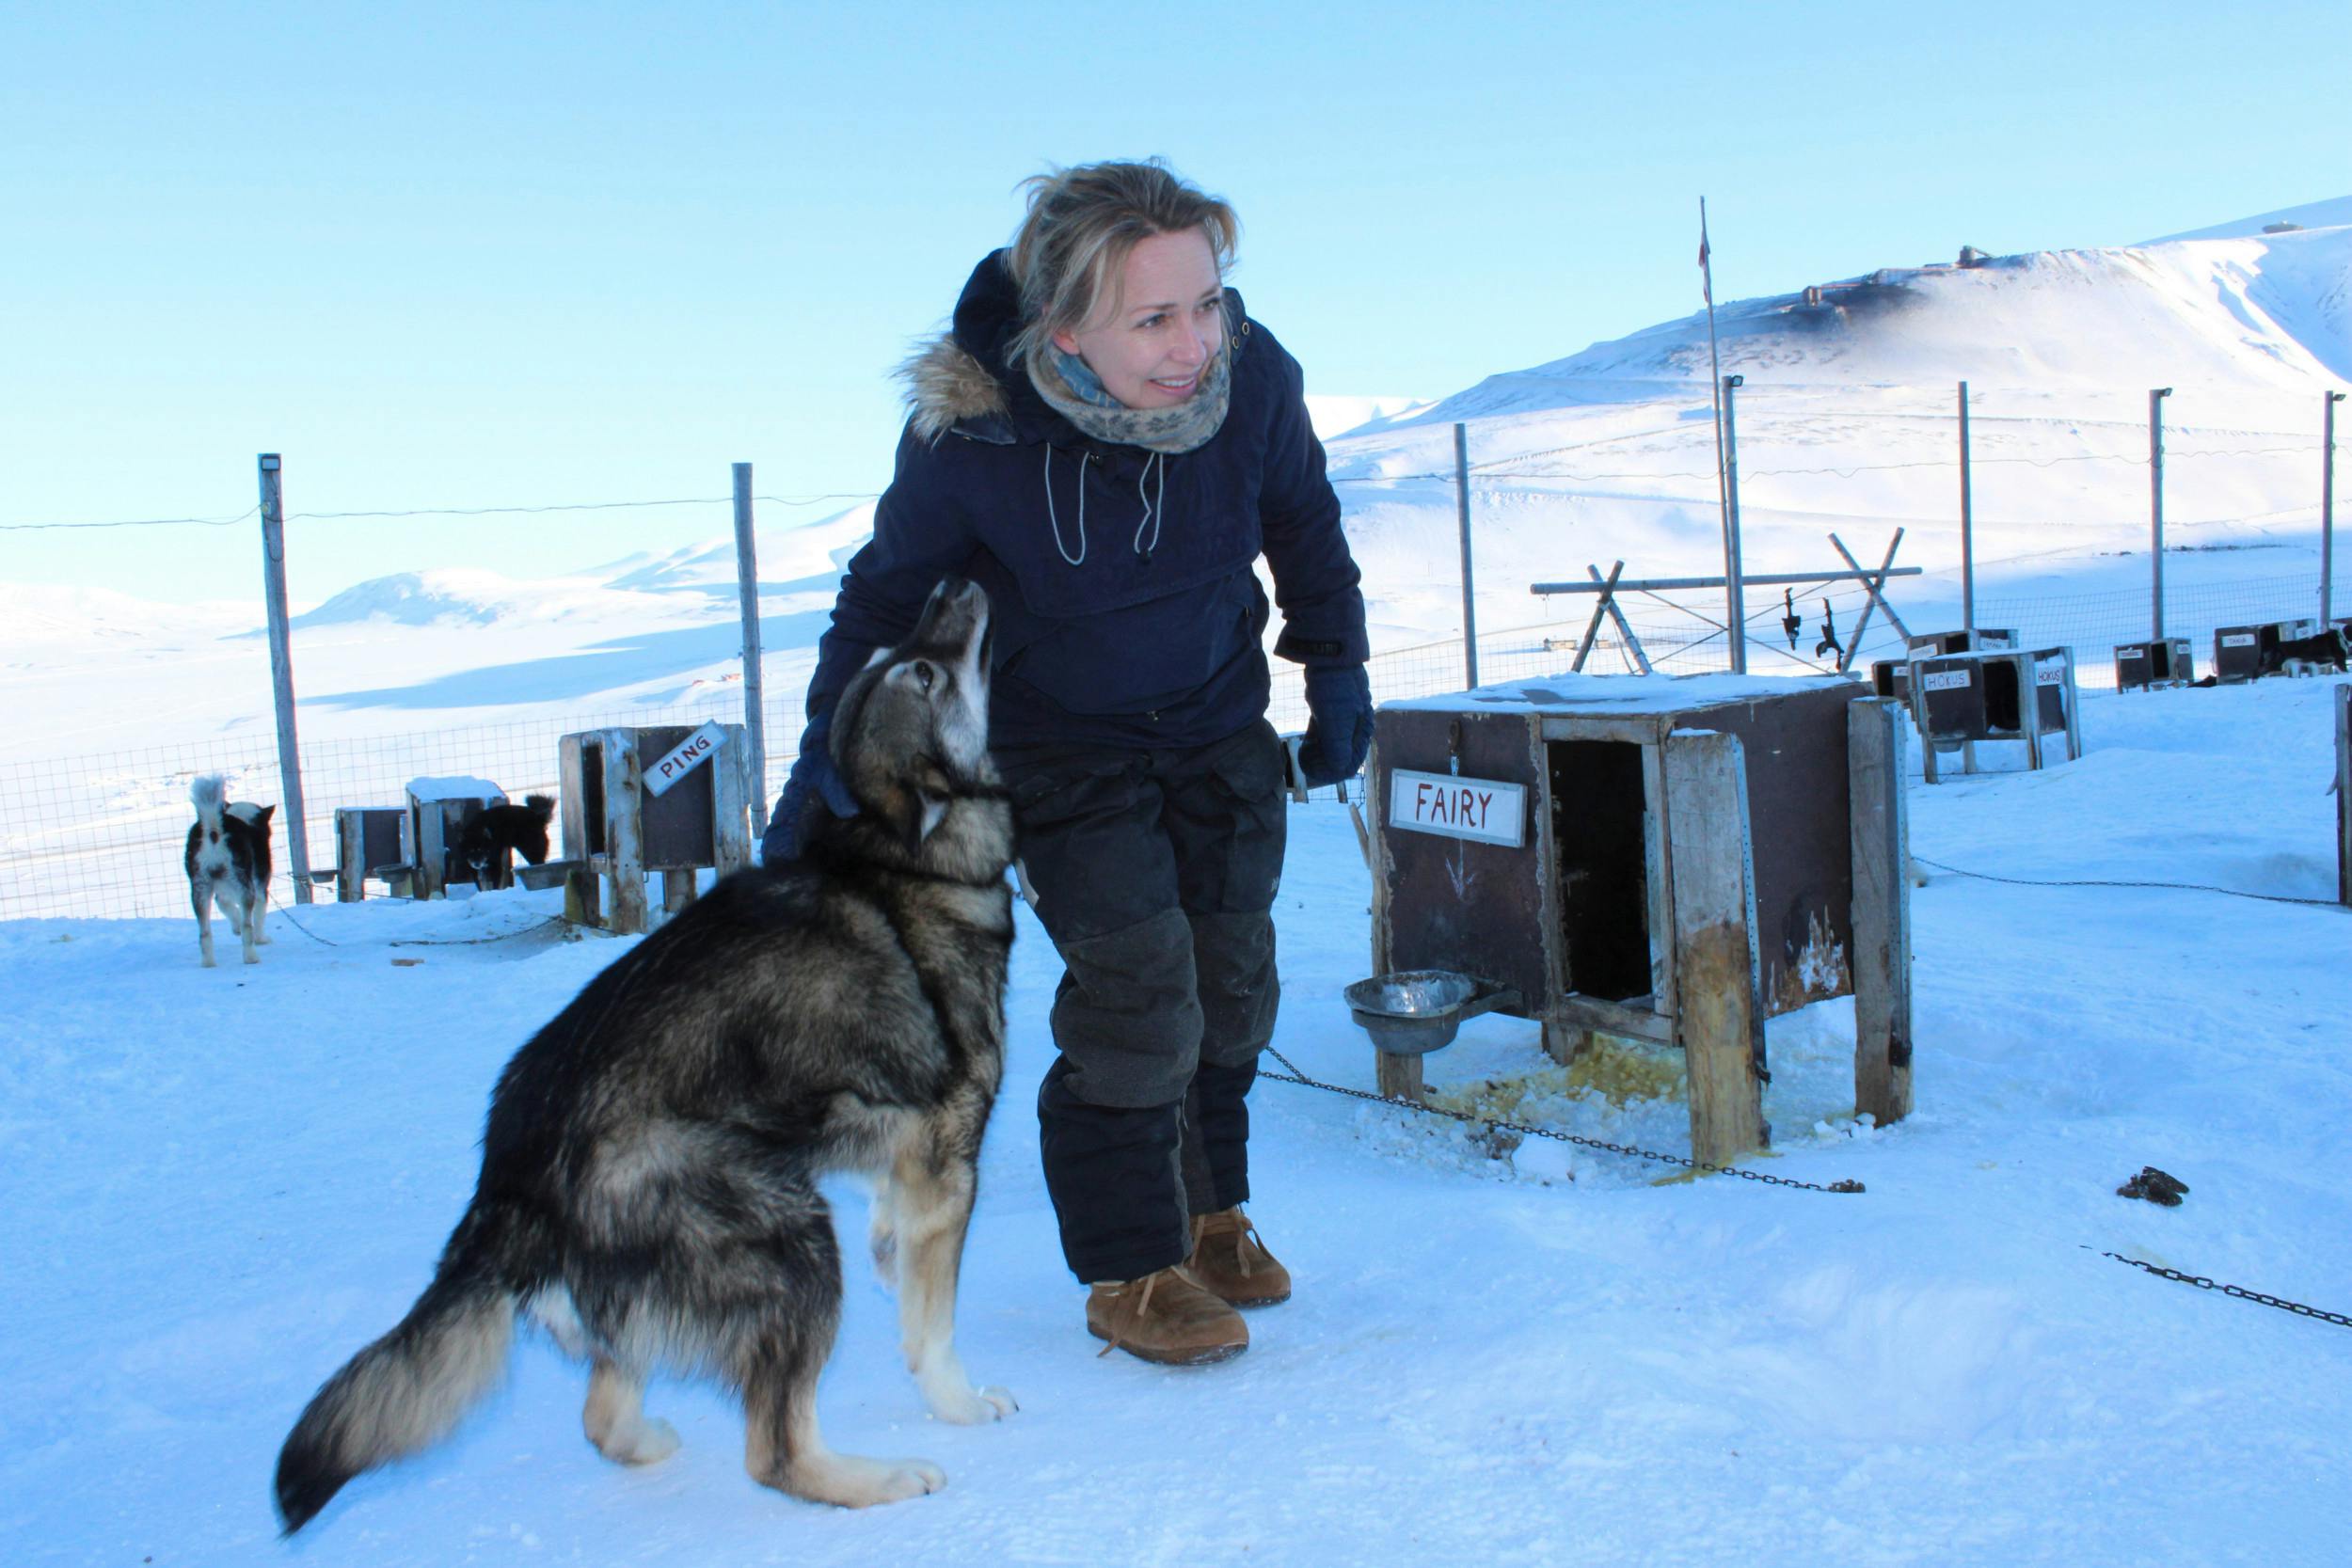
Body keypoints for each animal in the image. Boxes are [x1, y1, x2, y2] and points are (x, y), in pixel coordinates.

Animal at [184, 775, 276, 963]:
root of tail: (214, 830)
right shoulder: (260, 888)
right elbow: (258, 917)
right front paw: (261, 939)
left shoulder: (221, 891)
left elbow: (225, 905)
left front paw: (235, 927)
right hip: (245, 888)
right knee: (248, 926)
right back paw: (251, 957)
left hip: (200, 889)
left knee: (204, 933)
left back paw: (208, 963)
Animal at [275, 580, 1011, 1532]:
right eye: (920, 670)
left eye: (904, 652)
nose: (952, 585)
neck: (906, 859)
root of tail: (509, 1179)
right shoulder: (947, 1162)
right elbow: (935, 1324)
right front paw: (960, 1403)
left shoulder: (906, 1166)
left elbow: (905, 1275)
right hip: (789, 1237)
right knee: (774, 1450)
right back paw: (877, 1479)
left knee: (603, 1410)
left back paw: (650, 1438)